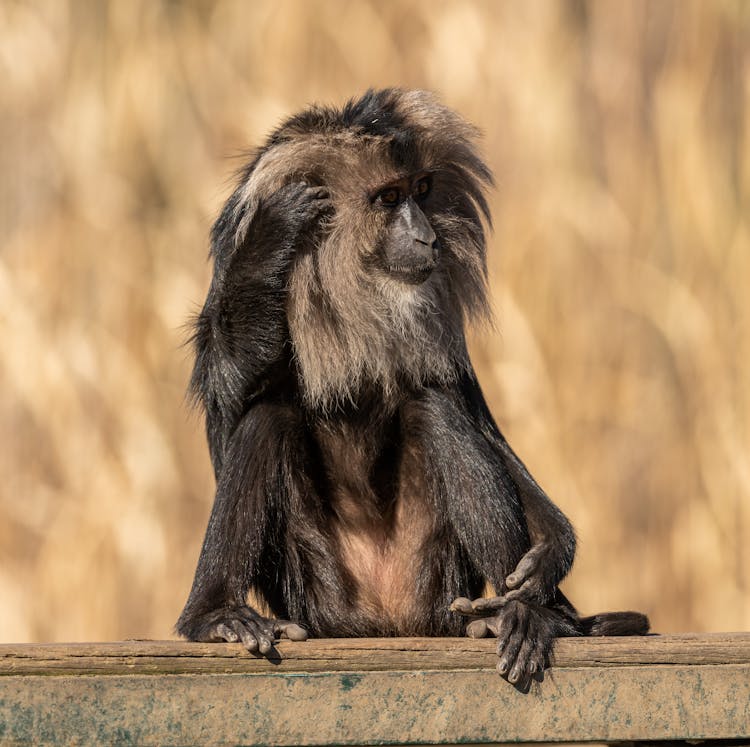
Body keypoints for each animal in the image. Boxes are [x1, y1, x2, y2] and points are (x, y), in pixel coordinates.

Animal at [179, 89, 648, 688]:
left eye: (421, 190)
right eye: (388, 198)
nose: (426, 235)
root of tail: (388, 620)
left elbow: (471, 414)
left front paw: (549, 557)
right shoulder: (233, 254)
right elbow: (228, 395)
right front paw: (272, 236)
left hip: (438, 582)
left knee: (435, 409)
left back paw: (524, 614)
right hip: (317, 593)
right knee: (266, 418)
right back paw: (213, 616)